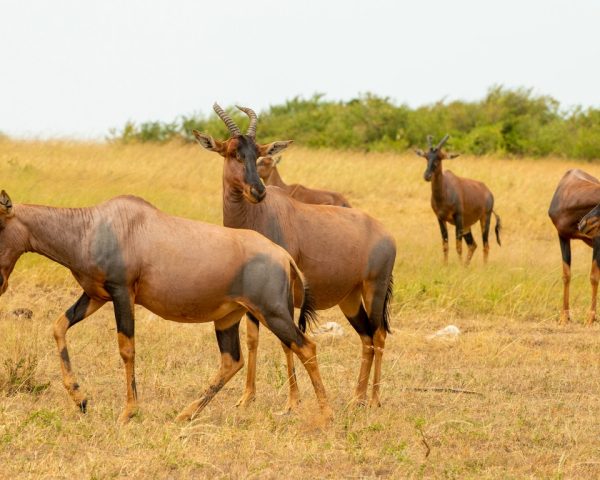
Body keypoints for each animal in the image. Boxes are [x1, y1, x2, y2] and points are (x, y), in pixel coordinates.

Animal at [0, 191, 330, 424]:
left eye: (0, 225)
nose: (0, 284)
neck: (97, 225)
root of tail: (284, 257)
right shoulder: (95, 296)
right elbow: (58, 326)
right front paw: (79, 398)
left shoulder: (122, 293)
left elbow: (127, 348)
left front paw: (128, 412)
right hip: (228, 317)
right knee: (231, 361)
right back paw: (186, 414)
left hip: (273, 313)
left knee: (306, 347)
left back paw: (326, 415)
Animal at [195, 104, 396, 408]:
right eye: (232, 152)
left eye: (258, 152)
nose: (258, 191)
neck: (259, 215)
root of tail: (386, 233)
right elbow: (253, 338)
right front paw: (247, 397)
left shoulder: (282, 295)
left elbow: (286, 341)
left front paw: (292, 401)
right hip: (349, 298)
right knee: (366, 337)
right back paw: (356, 398)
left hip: (375, 289)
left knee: (379, 334)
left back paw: (373, 400)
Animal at [414, 133, 500, 264]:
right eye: (426, 157)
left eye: (439, 157)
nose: (427, 176)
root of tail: (488, 192)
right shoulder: (440, 218)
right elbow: (445, 245)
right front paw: (445, 265)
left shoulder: (458, 217)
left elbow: (458, 246)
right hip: (467, 225)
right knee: (473, 245)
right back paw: (465, 265)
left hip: (485, 218)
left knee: (485, 245)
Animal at [552, 170, 600, 326]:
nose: (583, 224)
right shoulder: (562, 236)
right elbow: (566, 275)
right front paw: (564, 318)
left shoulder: (598, 241)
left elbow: (593, 277)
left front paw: (590, 319)